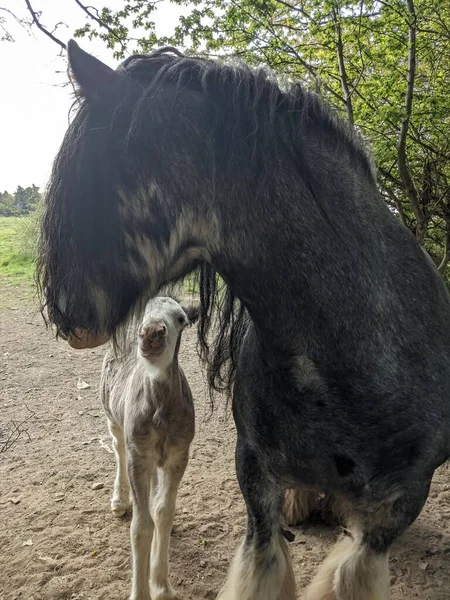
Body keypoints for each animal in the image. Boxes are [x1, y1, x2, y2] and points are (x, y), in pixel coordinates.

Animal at [100, 296, 197, 600]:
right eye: (144, 311)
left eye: (181, 319)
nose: (152, 333)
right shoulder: (139, 455)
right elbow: (141, 527)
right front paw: (141, 592)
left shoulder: (179, 454)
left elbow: (164, 514)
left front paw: (162, 586)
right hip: (112, 415)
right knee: (117, 447)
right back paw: (119, 500)